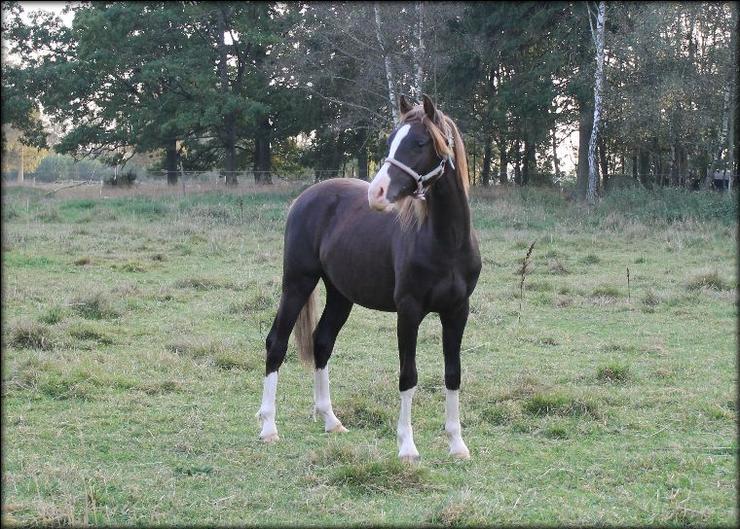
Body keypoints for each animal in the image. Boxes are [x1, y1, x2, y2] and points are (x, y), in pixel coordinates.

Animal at [258, 96, 482, 462]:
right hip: (298, 282)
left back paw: (331, 420)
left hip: (340, 294)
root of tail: (306, 197)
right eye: (390, 140)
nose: (376, 193)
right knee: (276, 342)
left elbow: (453, 374)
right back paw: (268, 427)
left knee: (322, 341)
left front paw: (457, 444)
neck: (445, 241)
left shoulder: (457, 311)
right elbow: (408, 375)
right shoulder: (409, 311)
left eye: (420, 143)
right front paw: (407, 446)